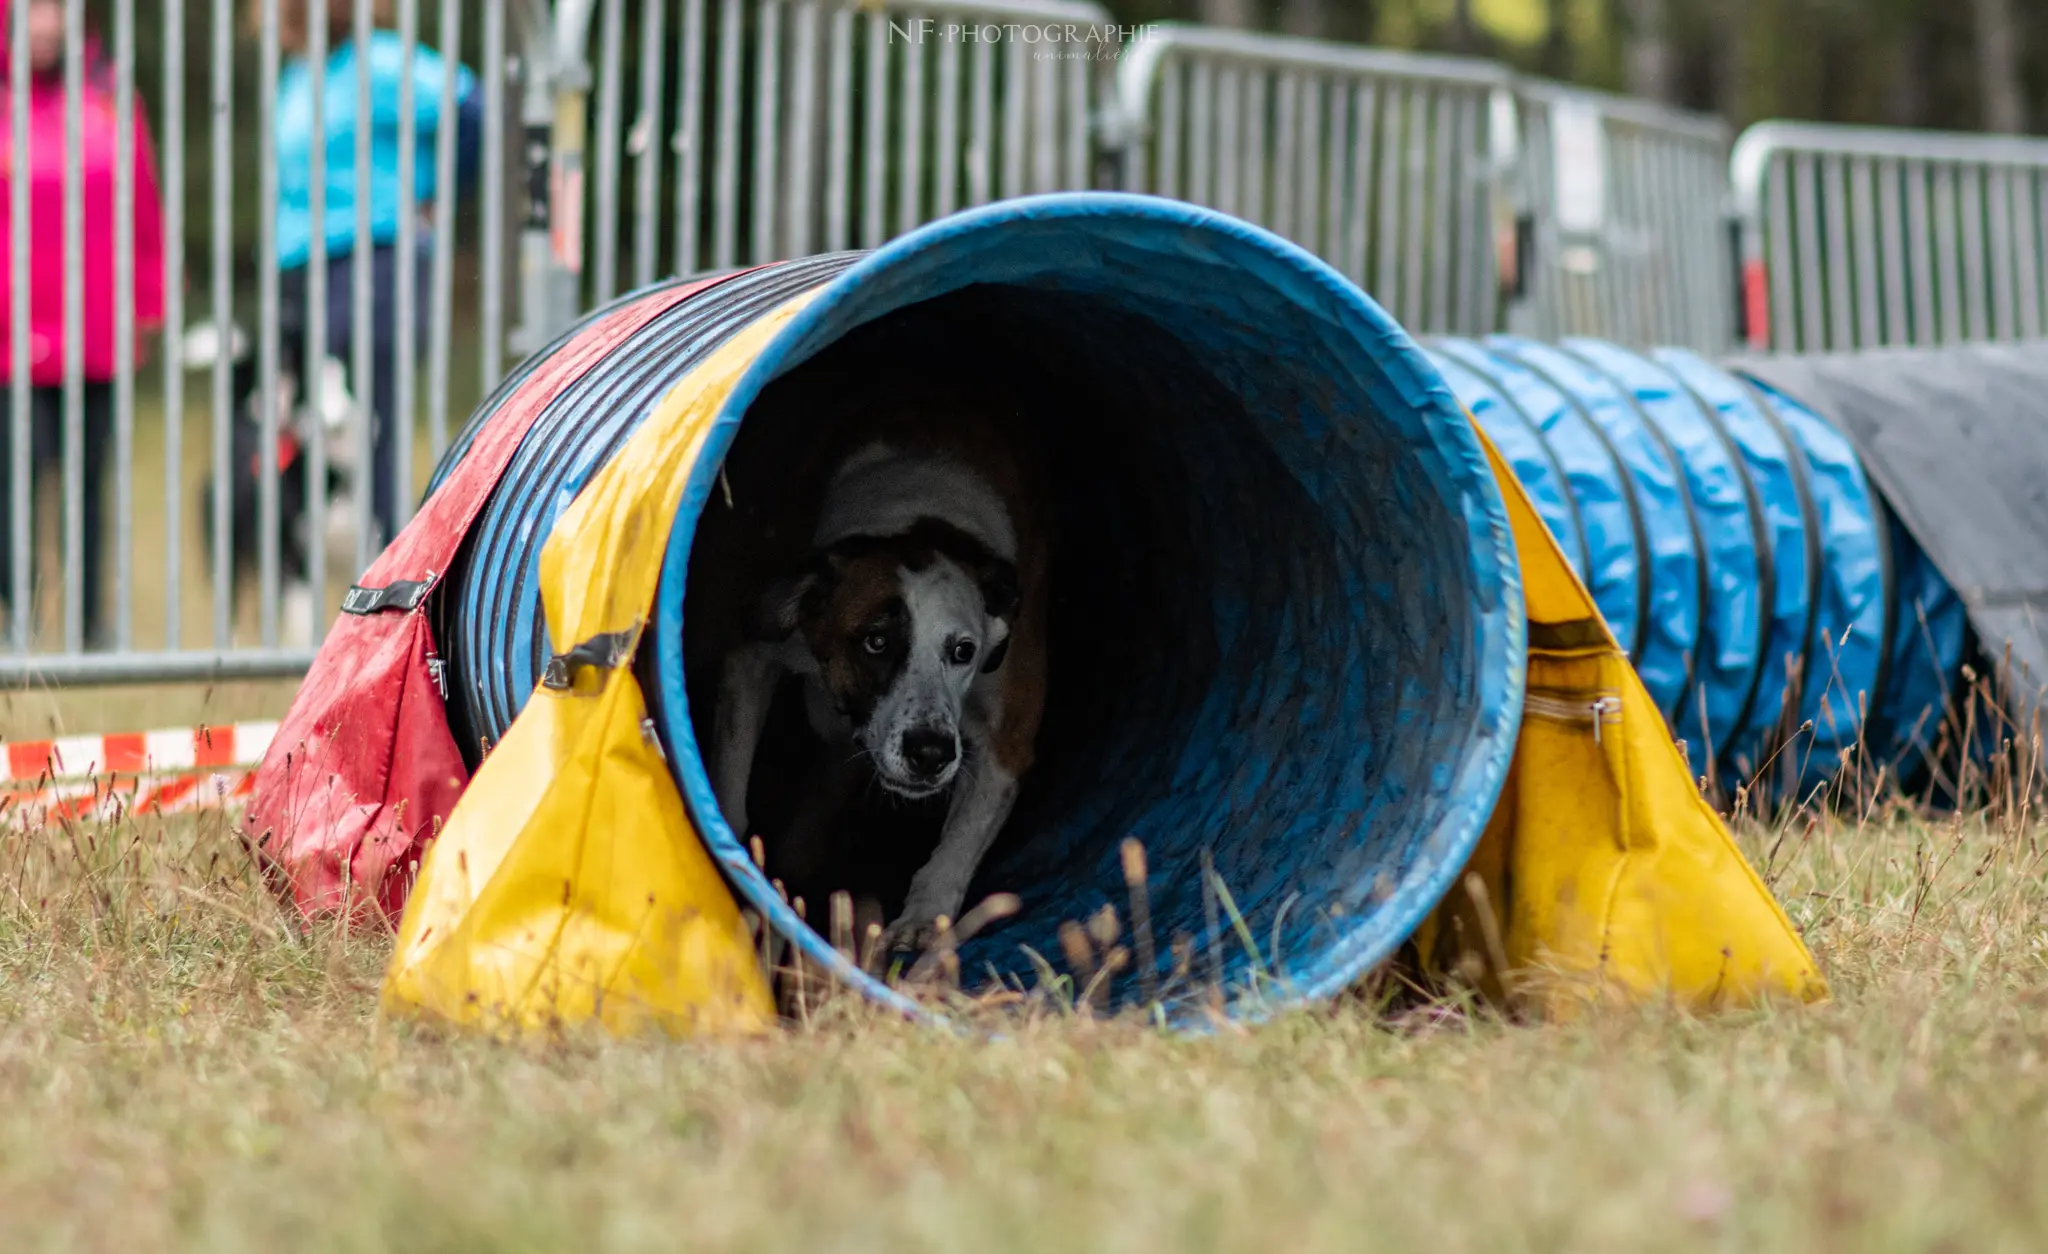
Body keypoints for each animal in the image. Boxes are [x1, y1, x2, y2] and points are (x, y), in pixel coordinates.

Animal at [712, 366, 1048, 954]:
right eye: (874, 642)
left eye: (963, 651)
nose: (930, 752)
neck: (921, 518)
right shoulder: (755, 652)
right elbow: (730, 781)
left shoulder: (1007, 732)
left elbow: (959, 846)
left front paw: (922, 922)